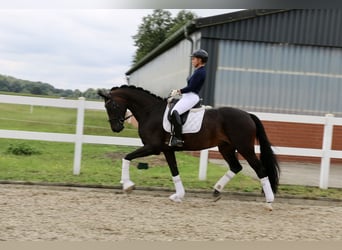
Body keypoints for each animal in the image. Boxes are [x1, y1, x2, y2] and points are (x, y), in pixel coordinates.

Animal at [97, 86, 280, 209]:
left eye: (111, 106)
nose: (116, 128)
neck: (151, 112)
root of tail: (247, 115)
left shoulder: (153, 147)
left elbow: (126, 157)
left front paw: (127, 185)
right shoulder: (167, 150)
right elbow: (174, 171)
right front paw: (178, 195)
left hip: (244, 147)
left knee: (260, 169)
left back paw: (269, 202)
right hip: (226, 148)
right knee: (236, 167)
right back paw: (216, 191)